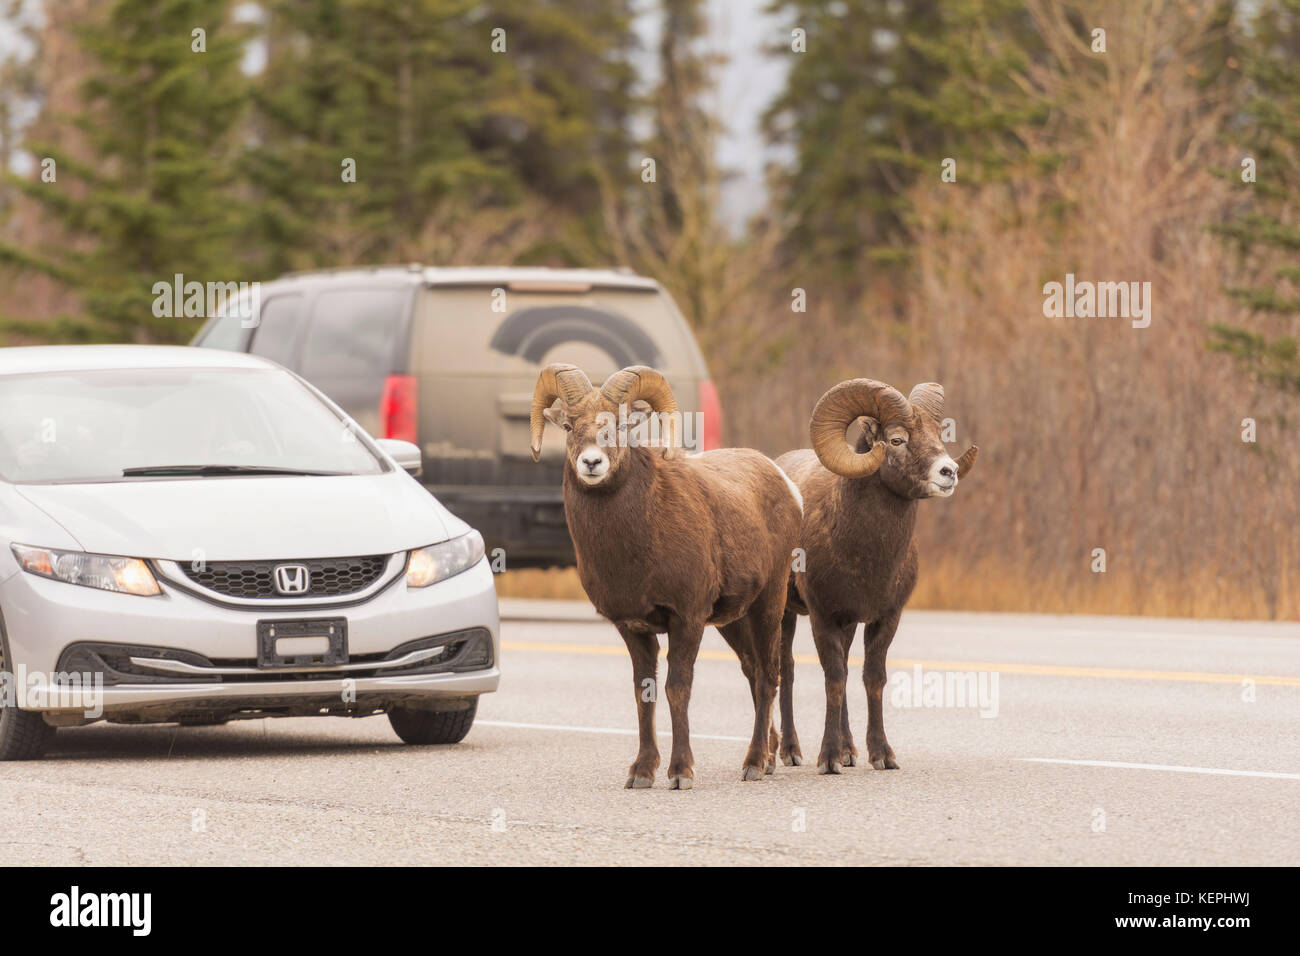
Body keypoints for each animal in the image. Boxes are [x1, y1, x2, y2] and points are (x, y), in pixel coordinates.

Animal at [527, 361, 800, 790]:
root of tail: (786, 486)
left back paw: (755, 763)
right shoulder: (632, 628)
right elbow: (645, 692)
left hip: (768, 606)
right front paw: (641, 772)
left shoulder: (686, 620)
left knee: (768, 675)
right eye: (569, 426)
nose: (592, 463)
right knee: (753, 671)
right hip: (732, 621)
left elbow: (677, 689)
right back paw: (769, 759)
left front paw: (680, 772)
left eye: (620, 426)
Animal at [769, 377, 977, 775]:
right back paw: (790, 752)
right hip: (785, 613)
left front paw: (881, 755)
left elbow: (871, 678)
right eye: (896, 440)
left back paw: (850, 751)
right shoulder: (823, 616)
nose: (949, 472)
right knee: (785, 669)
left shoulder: (884, 618)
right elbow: (833, 679)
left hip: (848, 625)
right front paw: (828, 760)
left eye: (938, 435)